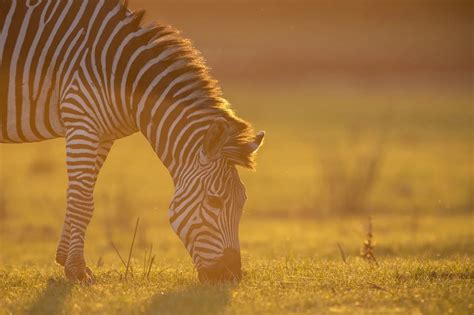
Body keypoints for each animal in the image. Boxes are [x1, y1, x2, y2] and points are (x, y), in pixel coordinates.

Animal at [0, 0, 264, 286]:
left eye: (243, 201)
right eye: (215, 201)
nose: (231, 276)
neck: (121, 77)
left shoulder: (102, 134)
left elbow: (77, 194)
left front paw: (64, 259)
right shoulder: (82, 120)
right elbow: (83, 202)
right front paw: (77, 270)